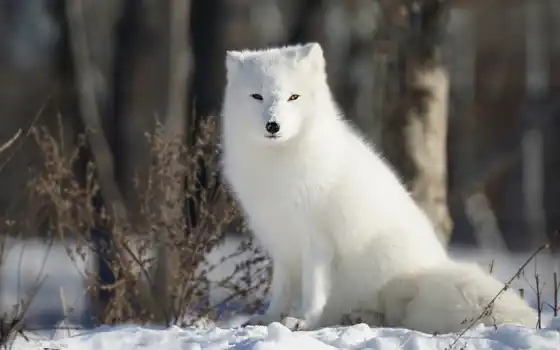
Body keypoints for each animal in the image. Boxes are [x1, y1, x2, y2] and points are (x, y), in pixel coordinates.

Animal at [221, 42, 536, 332]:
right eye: (257, 96)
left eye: (293, 97)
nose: (273, 125)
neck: (278, 165)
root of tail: (431, 269)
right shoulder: (282, 241)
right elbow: (281, 290)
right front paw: (269, 319)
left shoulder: (318, 240)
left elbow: (313, 291)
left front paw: (302, 322)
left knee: (391, 316)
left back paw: (360, 317)